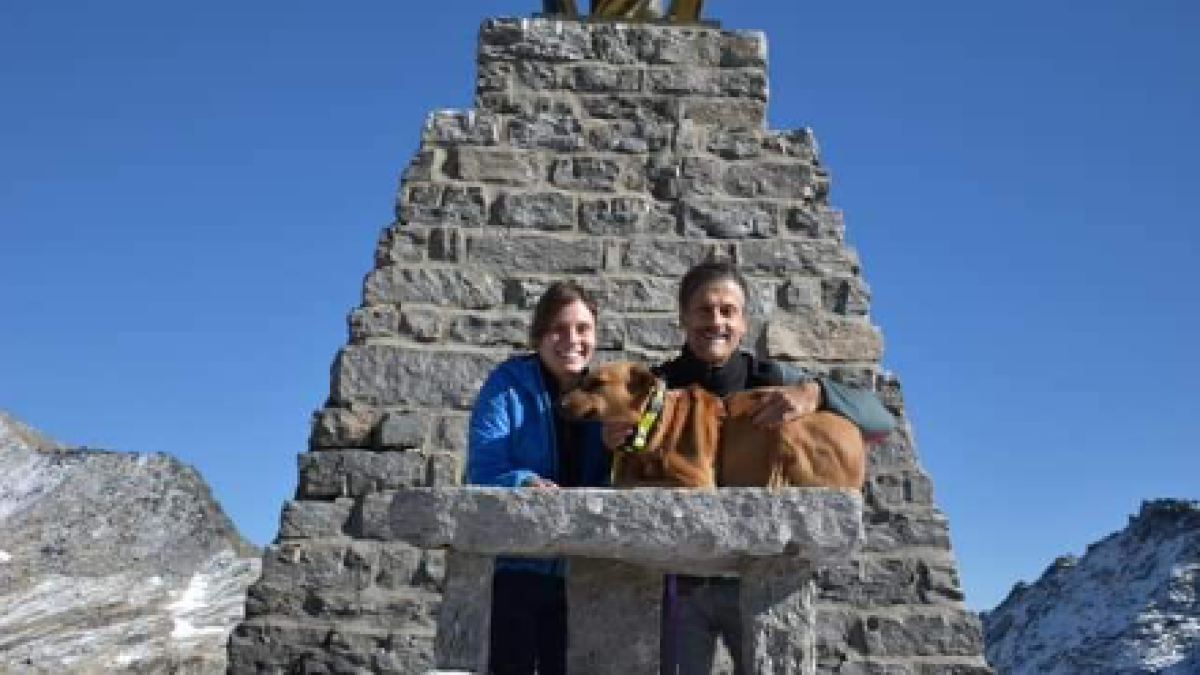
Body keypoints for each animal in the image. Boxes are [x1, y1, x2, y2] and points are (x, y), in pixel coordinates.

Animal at [561, 360, 864, 485]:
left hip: (784, 425)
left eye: (596, 384)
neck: (656, 421)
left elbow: (633, 483)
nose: (559, 404)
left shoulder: (696, 479)